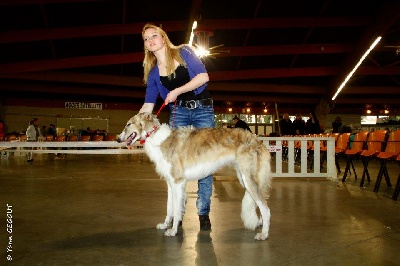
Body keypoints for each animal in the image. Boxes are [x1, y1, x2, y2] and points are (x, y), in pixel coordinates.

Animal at [116, 112, 272, 241]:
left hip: (249, 180)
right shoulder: (170, 183)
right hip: (244, 178)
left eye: (128, 124)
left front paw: (173, 230)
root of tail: (257, 139)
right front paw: (165, 225)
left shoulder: (178, 182)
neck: (158, 138)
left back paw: (264, 234)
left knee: (266, 208)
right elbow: (169, 208)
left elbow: (176, 209)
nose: (117, 139)